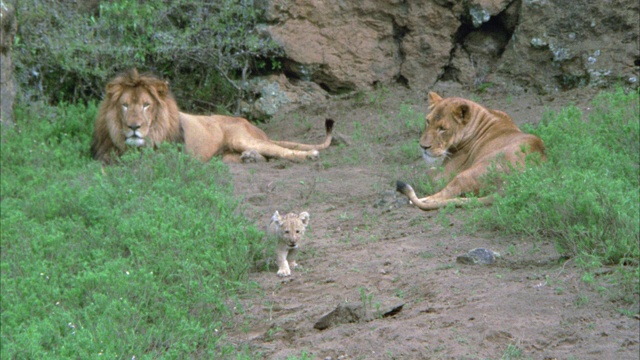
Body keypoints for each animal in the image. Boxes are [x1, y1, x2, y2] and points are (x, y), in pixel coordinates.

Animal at [90, 68, 336, 163]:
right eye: (124, 106)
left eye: (146, 105)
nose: (134, 127)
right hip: (225, 155)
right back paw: (251, 158)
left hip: (241, 138)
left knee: (280, 150)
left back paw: (310, 155)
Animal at [398, 92, 548, 211]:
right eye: (428, 121)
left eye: (442, 129)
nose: (423, 146)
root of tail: (516, 183)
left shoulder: (444, 175)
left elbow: (427, 174)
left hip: (465, 175)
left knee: (441, 196)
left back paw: (421, 200)